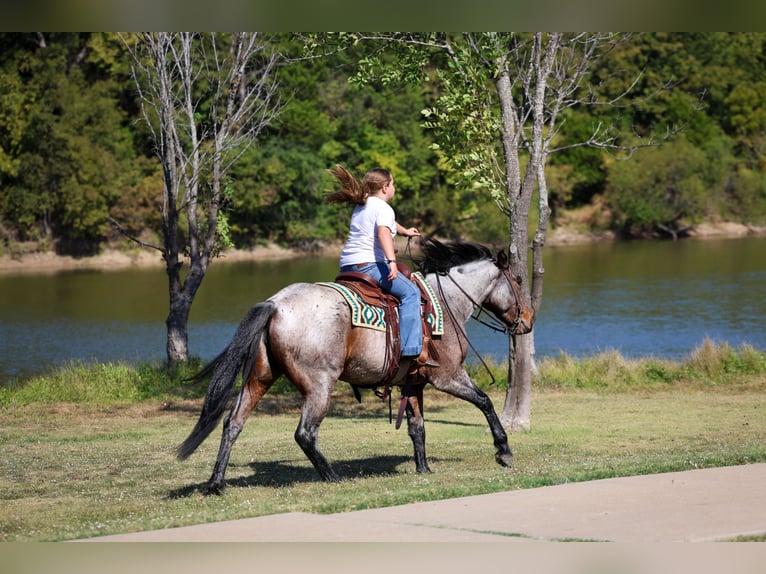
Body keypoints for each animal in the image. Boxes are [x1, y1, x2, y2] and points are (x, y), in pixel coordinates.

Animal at [177, 238, 535, 493]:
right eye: (518, 279)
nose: (529, 320)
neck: (445, 305)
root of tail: (275, 304)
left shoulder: (413, 384)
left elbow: (417, 428)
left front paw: (423, 468)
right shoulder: (447, 376)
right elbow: (485, 402)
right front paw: (503, 450)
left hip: (260, 377)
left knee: (232, 423)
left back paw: (216, 483)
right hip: (319, 386)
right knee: (305, 434)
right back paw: (332, 476)